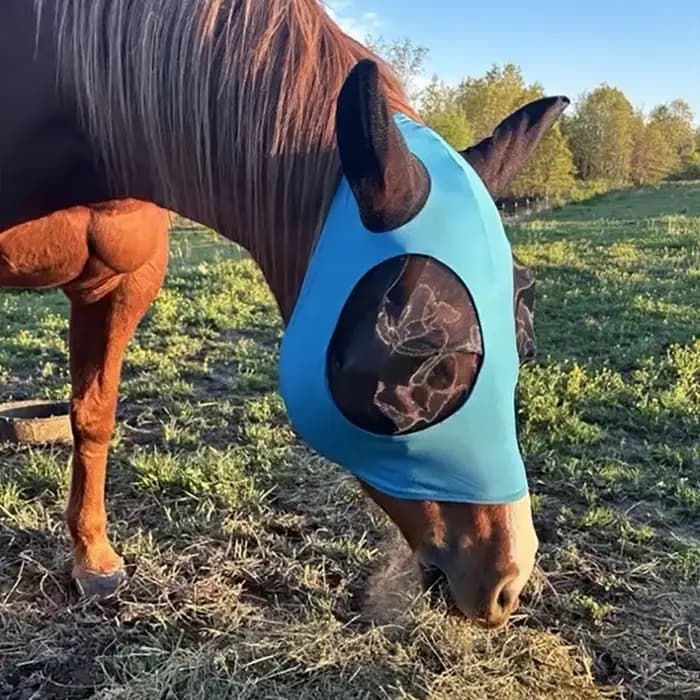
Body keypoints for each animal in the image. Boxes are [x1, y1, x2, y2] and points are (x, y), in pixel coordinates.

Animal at [0, 0, 568, 628]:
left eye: (523, 349)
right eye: (431, 363)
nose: (506, 582)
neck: (71, 101)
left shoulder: (124, 282)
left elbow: (94, 416)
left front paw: (93, 559)